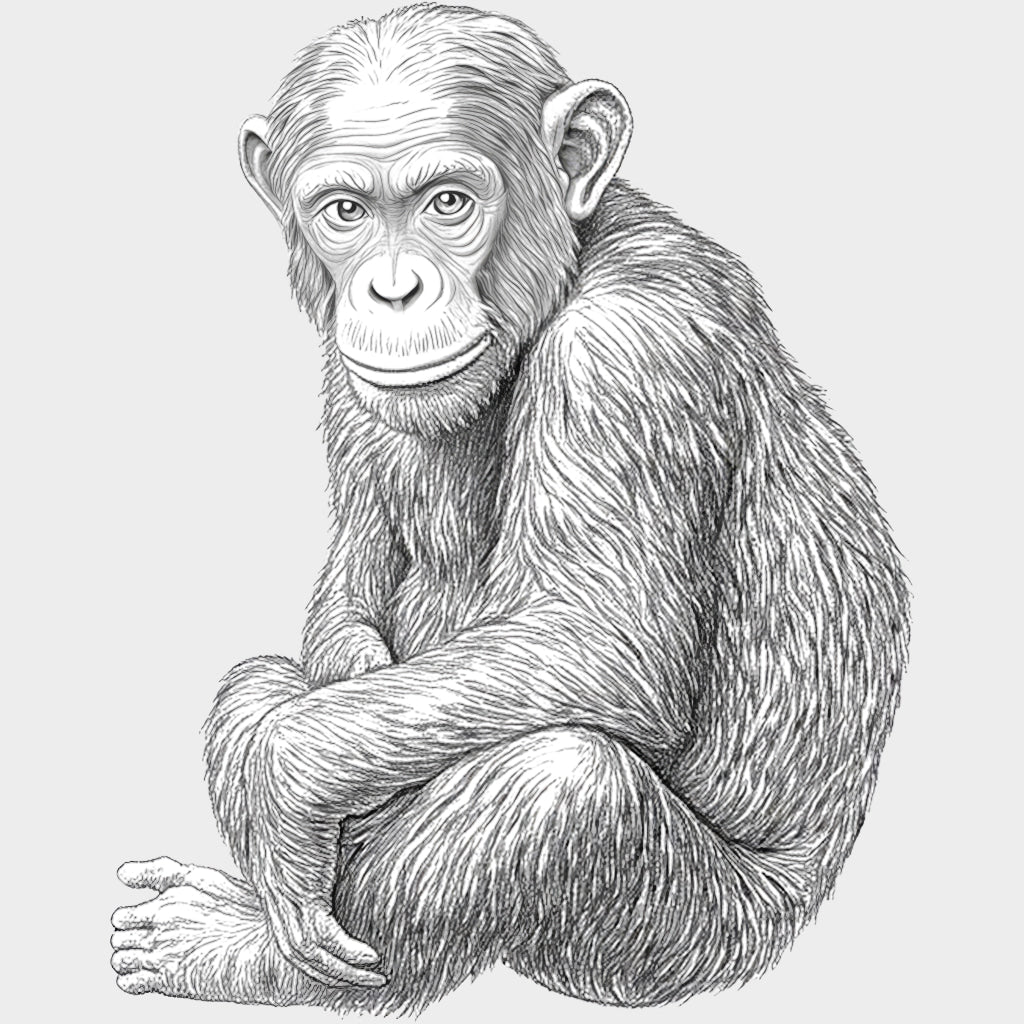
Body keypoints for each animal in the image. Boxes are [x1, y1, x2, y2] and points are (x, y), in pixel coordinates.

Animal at [110, 4, 909, 1014]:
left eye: (449, 202)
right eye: (346, 212)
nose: (393, 288)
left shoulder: (627, 355)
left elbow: (599, 639)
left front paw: (286, 781)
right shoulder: (344, 371)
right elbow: (352, 582)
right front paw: (337, 710)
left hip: (687, 942)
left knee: (559, 785)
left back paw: (239, 950)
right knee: (255, 679)